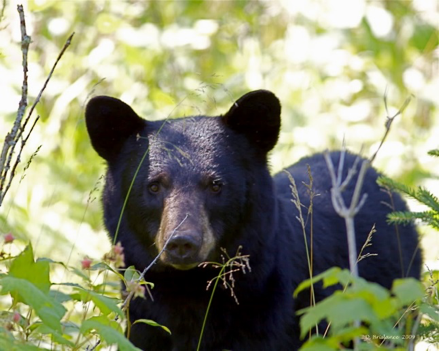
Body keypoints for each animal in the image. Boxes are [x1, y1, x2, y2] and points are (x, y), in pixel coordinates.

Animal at [85, 91, 420, 351]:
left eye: (216, 185)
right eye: (154, 186)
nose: (182, 242)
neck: (190, 292)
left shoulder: (274, 318)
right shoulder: (143, 322)